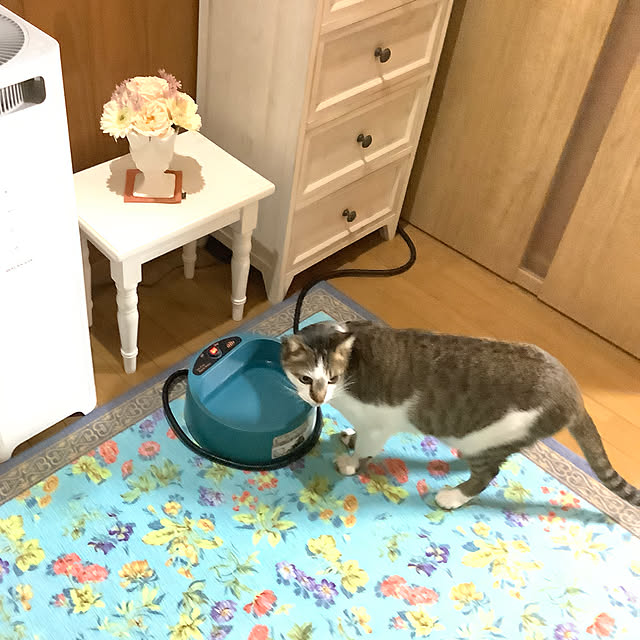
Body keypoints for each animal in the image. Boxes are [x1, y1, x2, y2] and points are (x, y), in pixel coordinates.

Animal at [280, 320, 640, 510]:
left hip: (490, 439)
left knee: (487, 474)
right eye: (305, 379)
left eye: (332, 379)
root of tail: (572, 391)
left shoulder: (378, 424)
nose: (318, 397)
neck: (352, 369)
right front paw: (349, 437)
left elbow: (366, 449)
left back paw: (453, 496)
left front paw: (352, 462)